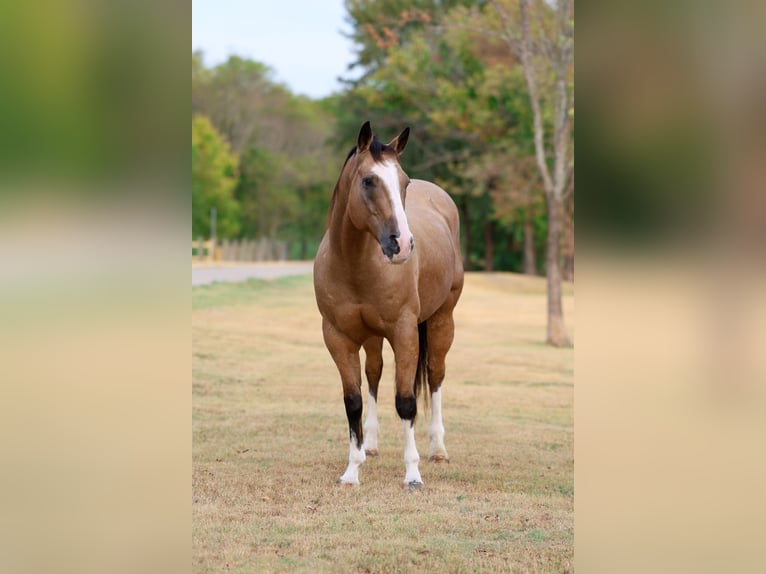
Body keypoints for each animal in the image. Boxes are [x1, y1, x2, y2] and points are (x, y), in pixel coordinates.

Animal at [313, 121, 464, 489]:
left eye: (404, 182)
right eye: (369, 181)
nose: (403, 244)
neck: (354, 264)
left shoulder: (405, 332)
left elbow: (406, 402)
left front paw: (412, 474)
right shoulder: (337, 337)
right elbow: (353, 401)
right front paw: (352, 470)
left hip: (442, 320)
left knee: (435, 375)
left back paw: (438, 450)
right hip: (371, 336)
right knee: (374, 373)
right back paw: (371, 445)